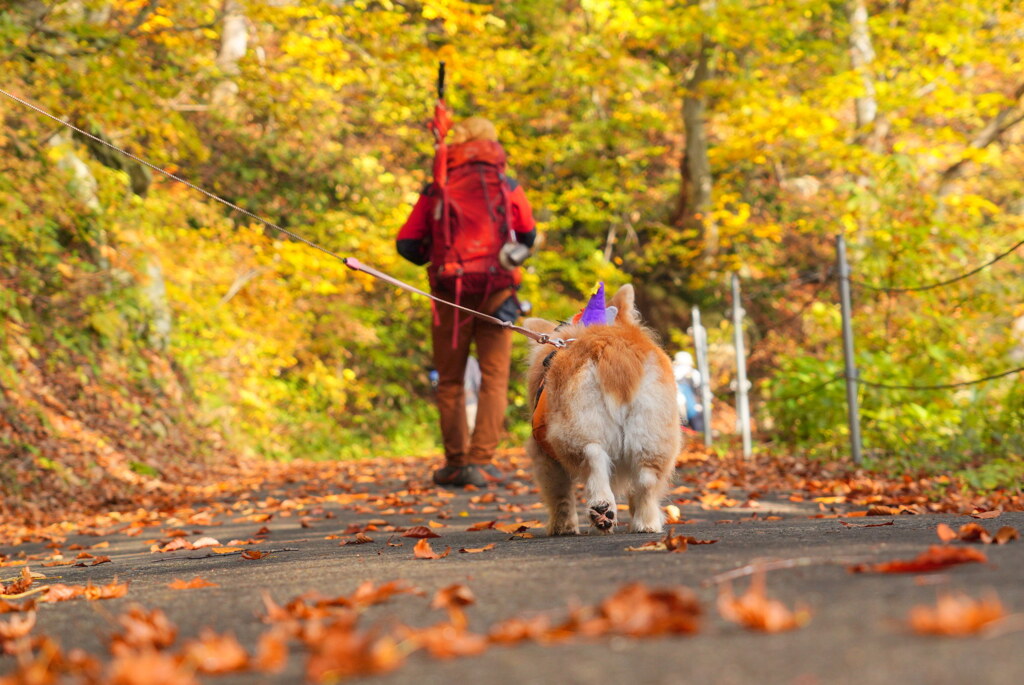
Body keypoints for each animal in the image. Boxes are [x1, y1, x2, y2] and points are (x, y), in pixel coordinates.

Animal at [528, 282, 679, 532]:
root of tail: (613, 350)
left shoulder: (545, 456)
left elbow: (560, 496)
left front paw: (563, 527)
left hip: (573, 429)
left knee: (593, 456)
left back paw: (601, 508)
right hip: (653, 432)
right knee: (646, 480)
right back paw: (646, 523)